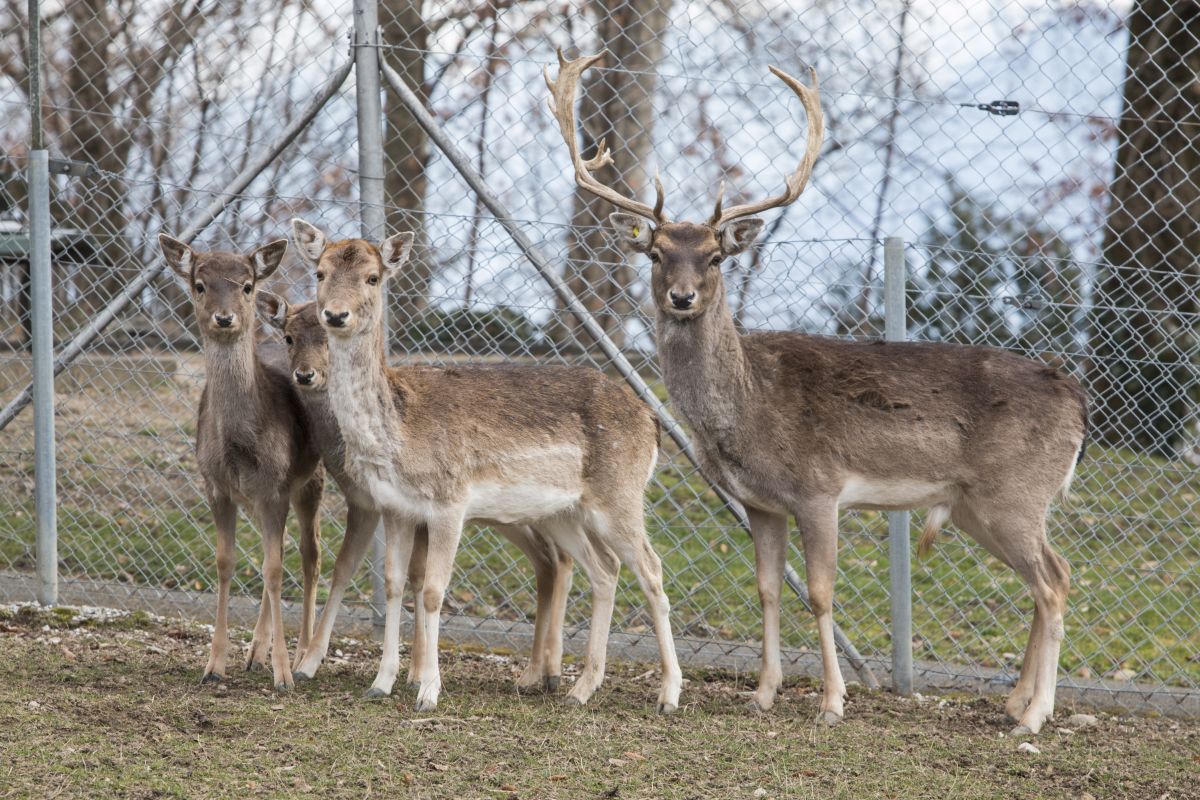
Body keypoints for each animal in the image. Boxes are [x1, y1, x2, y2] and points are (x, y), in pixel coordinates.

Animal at [254, 297, 576, 695]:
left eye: (328, 338)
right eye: (288, 337)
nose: (304, 375)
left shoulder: (379, 504)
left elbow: (380, 571)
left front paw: (415, 672)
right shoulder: (372, 501)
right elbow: (388, 573)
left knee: (559, 558)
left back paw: (547, 671)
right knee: (554, 561)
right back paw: (542, 673)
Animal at [292, 219, 686, 714]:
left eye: (373, 277)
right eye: (320, 272)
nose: (336, 315)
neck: (397, 432)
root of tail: (651, 419)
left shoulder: (450, 501)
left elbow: (434, 591)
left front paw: (428, 692)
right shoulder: (395, 507)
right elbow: (394, 584)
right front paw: (381, 683)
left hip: (620, 495)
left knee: (651, 570)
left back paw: (669, 694)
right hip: (562, 513)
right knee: (605, 569)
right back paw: (580, 689)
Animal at [547, 51, 1089, 738]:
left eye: (716, 256)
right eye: (656, 253)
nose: (682, 296)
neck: (747, 411)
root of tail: (1077, 397)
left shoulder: (820, 488)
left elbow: (822, 593)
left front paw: (832, 701)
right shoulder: (761, 503)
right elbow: (768, 589)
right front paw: (763, 693)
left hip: (1015, 492)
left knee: (1054, 581)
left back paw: (1035, 717)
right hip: (977, 504)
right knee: (1049, 577)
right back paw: (1016, 702)